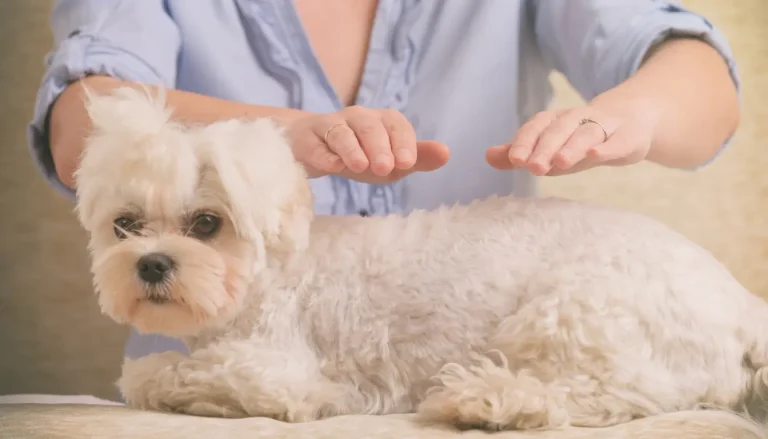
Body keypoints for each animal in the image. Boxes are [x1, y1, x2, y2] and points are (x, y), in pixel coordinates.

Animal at [72, 87, 768, 434]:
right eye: (125, 225)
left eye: (207, 224)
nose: (151, 263)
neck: (275, 273)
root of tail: (743, 308)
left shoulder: (277, 370)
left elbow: (152, 375)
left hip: (571, 314)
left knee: (603, 396)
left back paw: (491, 400)